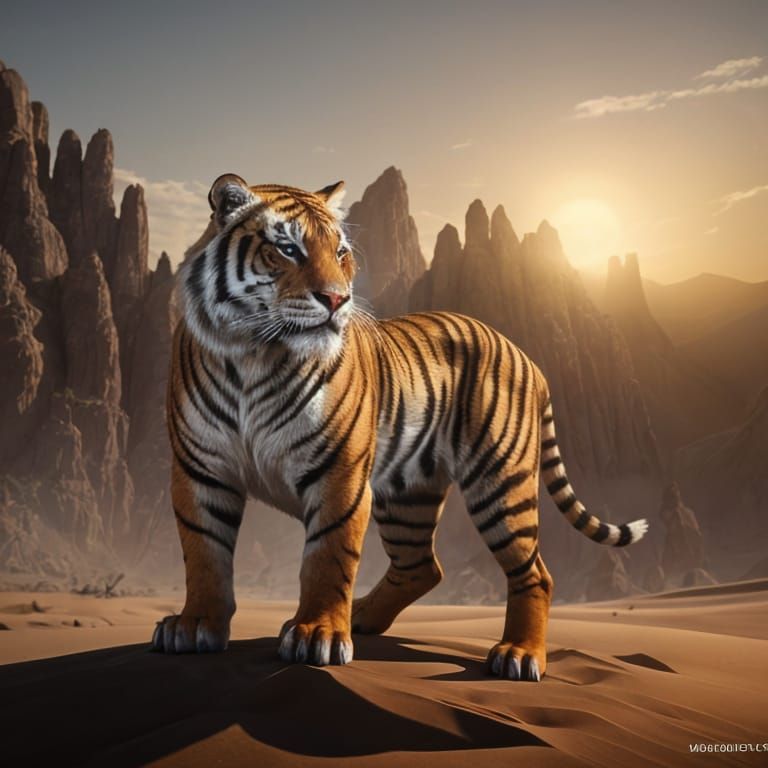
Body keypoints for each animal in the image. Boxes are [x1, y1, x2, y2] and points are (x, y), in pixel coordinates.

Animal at [151, 173, 648, 681]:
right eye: (287, 249)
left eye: (341, 252)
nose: (337, 299)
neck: (253, 353)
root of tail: (525, 354)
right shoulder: (200, 469)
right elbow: (204, 554)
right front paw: (195, 626)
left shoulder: (339, 475)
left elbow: (328, 558)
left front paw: (317, 635)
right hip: (409, 495)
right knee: (422, 567)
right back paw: (362, 617)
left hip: (500, 483)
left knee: (535, 574)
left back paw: (520, 654)